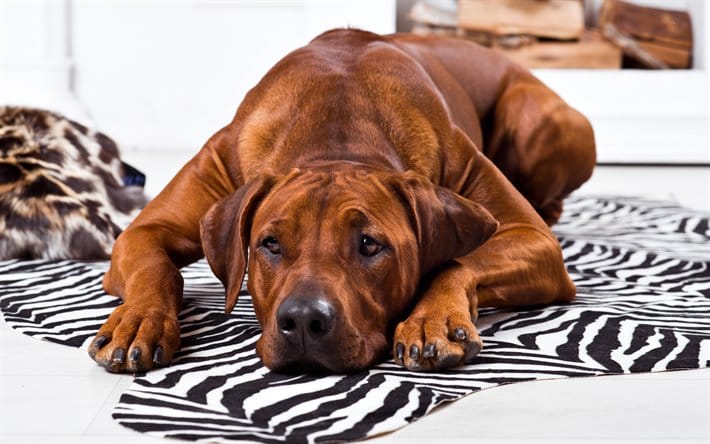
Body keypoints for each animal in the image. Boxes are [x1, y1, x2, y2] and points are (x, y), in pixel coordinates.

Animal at [92, 28, 596, 374]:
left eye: (370, 244)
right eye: (269, 244)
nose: (302, 321)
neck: (337, 130)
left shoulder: (530, 237)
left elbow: (458, 261)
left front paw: (432, 320)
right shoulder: (145, 230)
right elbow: (156, 267)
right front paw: (138, 320)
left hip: (539, 118)